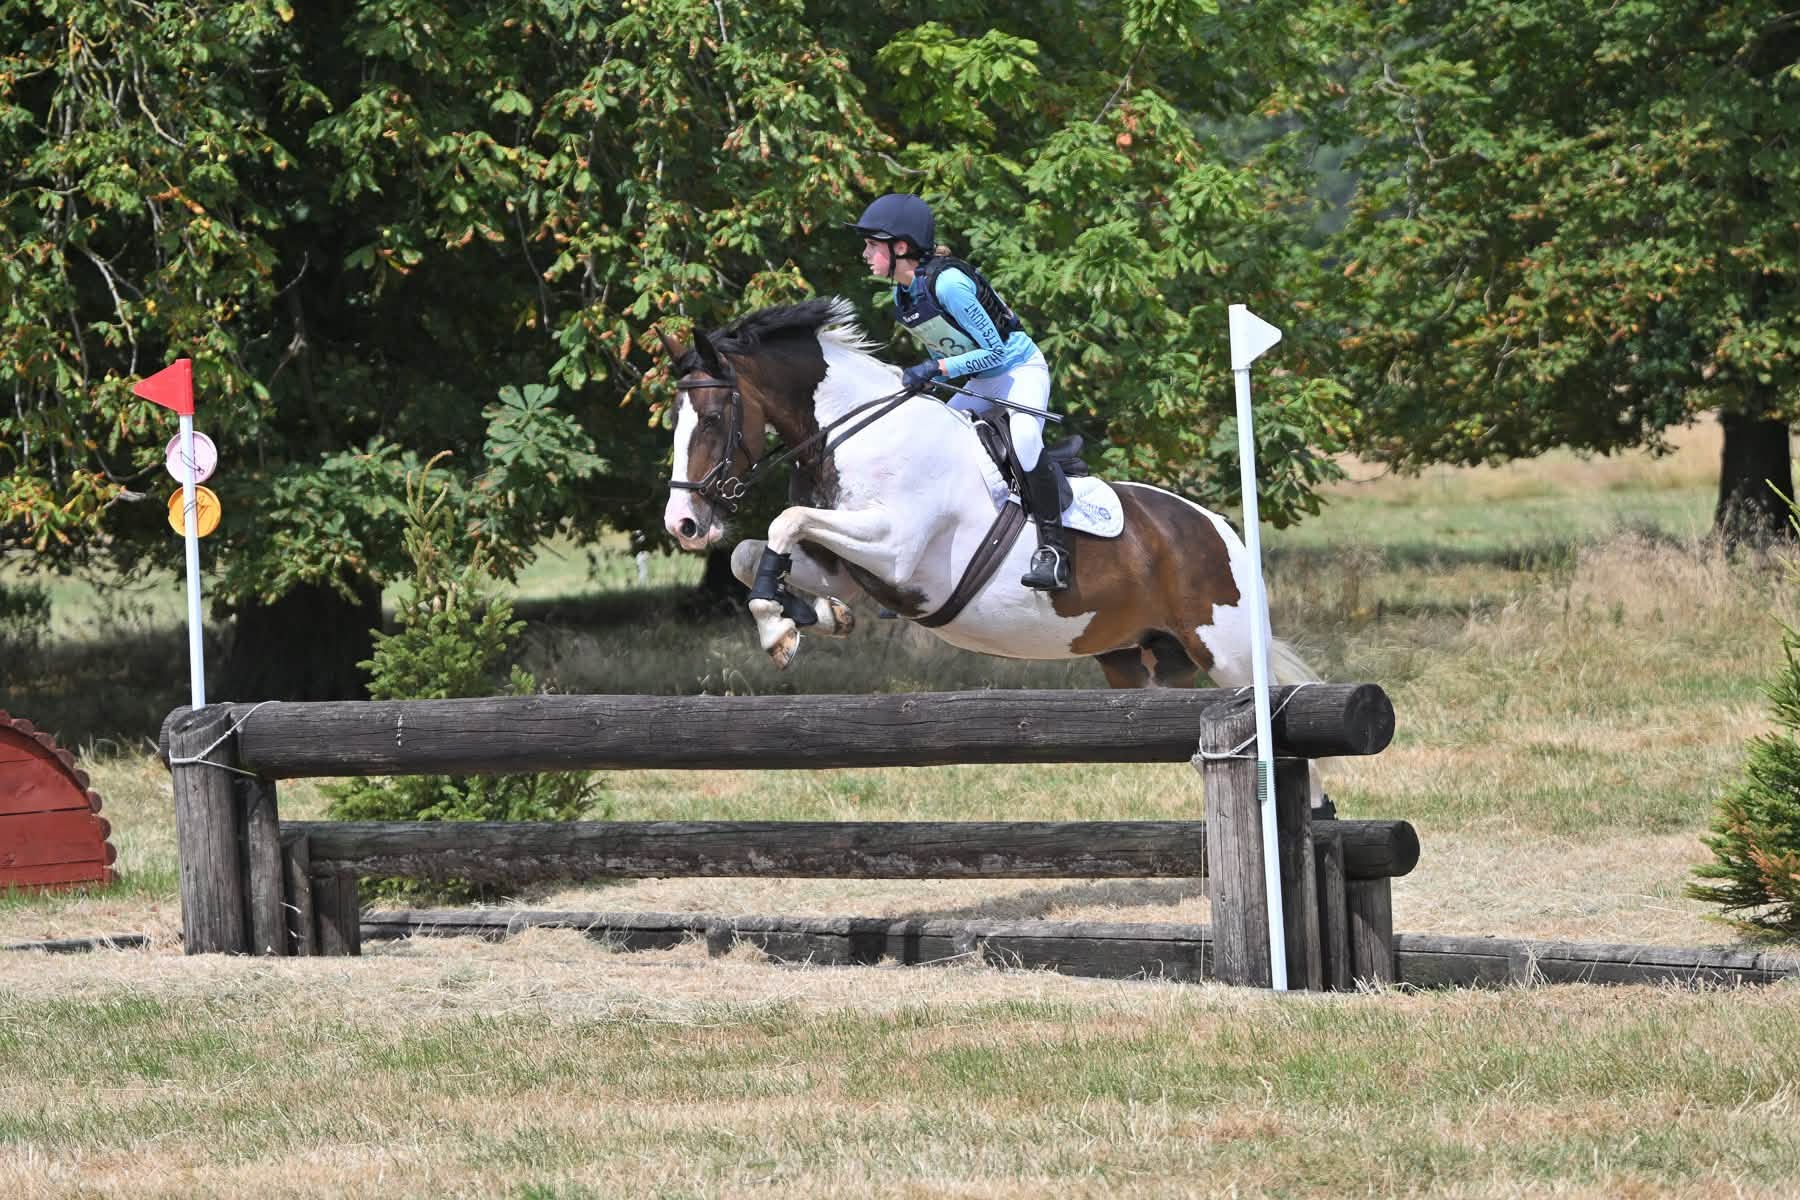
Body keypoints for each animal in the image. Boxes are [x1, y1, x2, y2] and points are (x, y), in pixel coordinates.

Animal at [658, 297, 1322, 697]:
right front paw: (810, 619)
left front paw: (781, 629)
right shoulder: (851, 568)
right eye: (673, 419)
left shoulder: (895, 549)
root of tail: (1221, 529)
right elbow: (750, 554)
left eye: (713, 419)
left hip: (1227, 653)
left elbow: (783, 521)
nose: (683, 523)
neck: (857, 430)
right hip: (1141, 659)